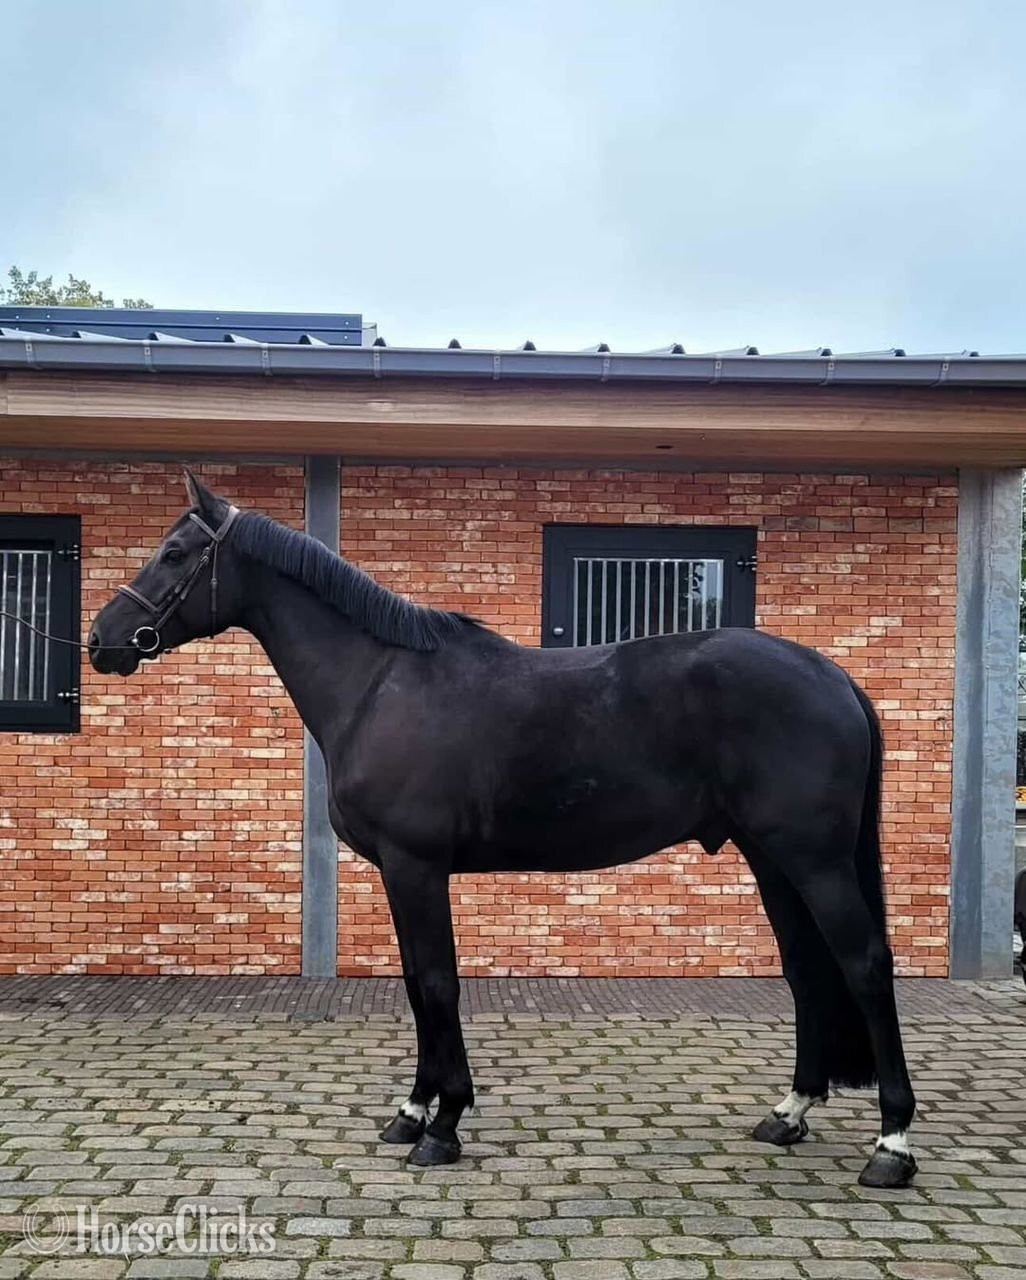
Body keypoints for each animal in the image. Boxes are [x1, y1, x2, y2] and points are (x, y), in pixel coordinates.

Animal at [88, 470, 917, 1188]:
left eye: (174, 553)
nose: (103, 639)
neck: (379, 684)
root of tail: (835, 678)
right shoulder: (399, 873)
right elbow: (415, 985)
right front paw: (411, 1112)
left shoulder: (415, 865)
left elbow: (437, 982)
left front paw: (444, 1125)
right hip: (772, 857)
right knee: (807, 970)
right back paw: (789, 1113)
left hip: (813, 860)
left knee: (866, 965)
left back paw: (892, 1145)